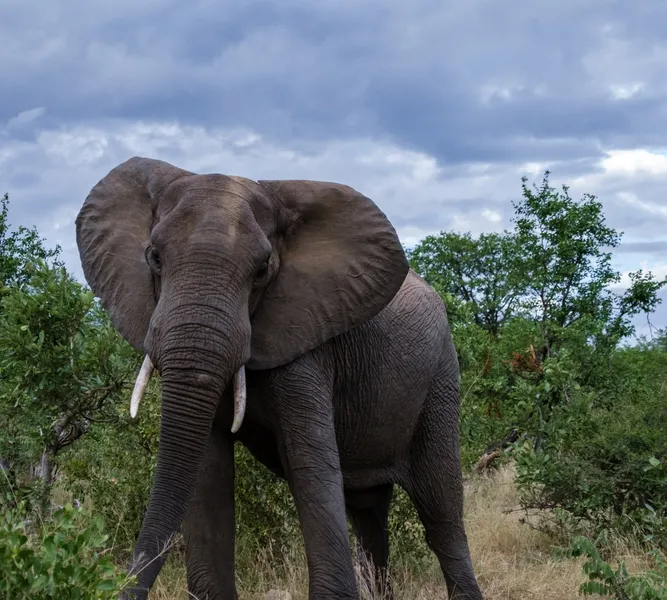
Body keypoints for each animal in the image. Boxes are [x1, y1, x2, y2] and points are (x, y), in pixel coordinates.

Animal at [75, 156, 484, 600]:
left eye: (262, 271)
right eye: (154, 257)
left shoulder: (308, 341)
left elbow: (310, 466)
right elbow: (206, 468)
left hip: (440, 378)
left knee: (440, 512)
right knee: (369, 516)